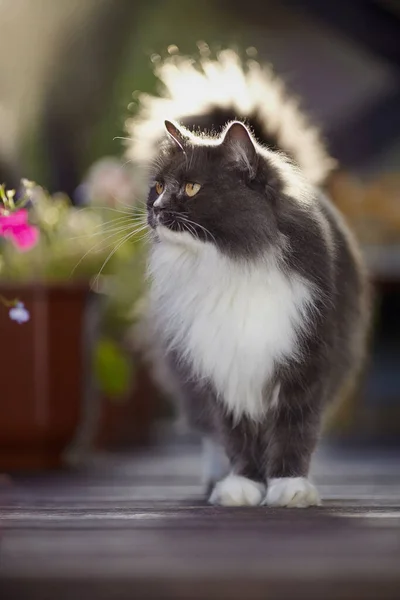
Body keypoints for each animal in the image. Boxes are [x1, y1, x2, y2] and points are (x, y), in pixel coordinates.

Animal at [127, 49, 368, 506]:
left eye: (190, 188)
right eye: (158, 186)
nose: (156, 209)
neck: (231, 264)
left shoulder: (305, 362)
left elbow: (294, 432)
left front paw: (289, 486)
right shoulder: (219, 366)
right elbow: (235, 435)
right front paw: (243, 486)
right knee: (208, 433)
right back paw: (215, 479)